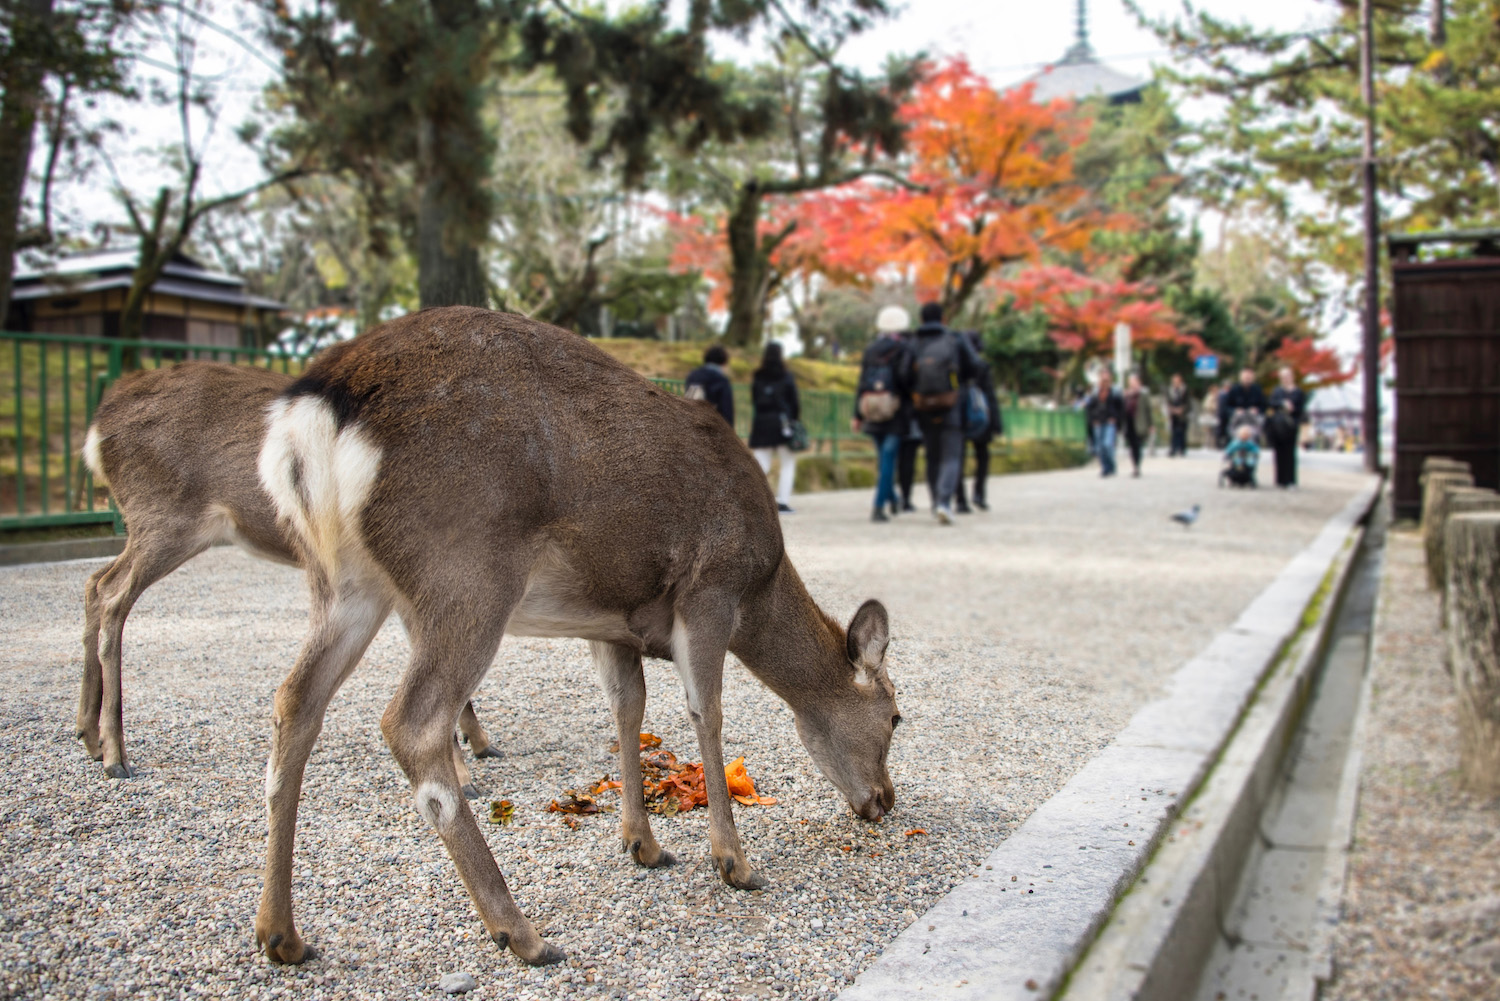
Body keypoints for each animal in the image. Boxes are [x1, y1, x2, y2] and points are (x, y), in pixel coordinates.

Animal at [79, 364, 501, 786]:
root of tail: (96, 432)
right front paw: (463, 772)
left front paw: (479, 742)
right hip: (165, 516)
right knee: (113, 594)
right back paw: (115, 754)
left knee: (95, 582)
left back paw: (90, 736)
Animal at [255, 307, 900, 972]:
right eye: (896, 717)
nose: (886, 799)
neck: (761, 588)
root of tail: (314, 410)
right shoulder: (709, 590)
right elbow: (707, 712)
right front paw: (735, 863)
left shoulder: (611, 622)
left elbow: (628, 708)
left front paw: (644, 845)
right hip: (467, 570)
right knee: (411, 723)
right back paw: (520, 931)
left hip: (342, 579)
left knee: (294, 700)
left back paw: (280, 933)